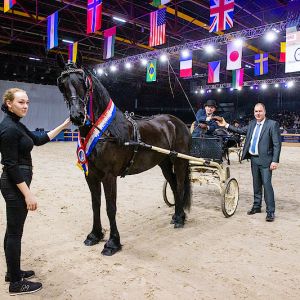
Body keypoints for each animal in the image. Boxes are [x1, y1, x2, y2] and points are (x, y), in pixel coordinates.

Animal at [56, 55, 191, 255]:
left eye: (83, 82)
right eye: (62, 84)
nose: (77, 116)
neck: (105, 131)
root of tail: (177, 122)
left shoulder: (109, 176)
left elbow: (110, 207)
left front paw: (112, 243)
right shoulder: (91, 175)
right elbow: (95, 204)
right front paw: (94, 235)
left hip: (180, 161)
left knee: (180, 186)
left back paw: (181, 219)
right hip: (164, 163)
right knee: (174, 186)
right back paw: (176, 216)